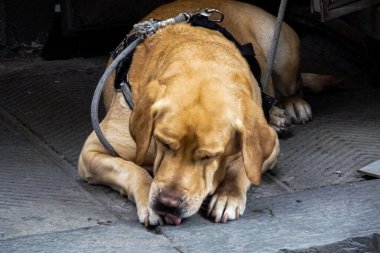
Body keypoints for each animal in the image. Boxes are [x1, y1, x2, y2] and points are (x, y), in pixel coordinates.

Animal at [78, 0, 312, 225]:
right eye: (164, 143)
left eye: (208, 156)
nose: (169, 203)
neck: (200, 56)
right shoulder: (93, 151)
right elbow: (134, 170)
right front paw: (147, 198)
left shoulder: (268, 149)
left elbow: (241, 168)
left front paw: (228, 195)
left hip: (282, 54)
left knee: (294, 87)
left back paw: (291, 107)